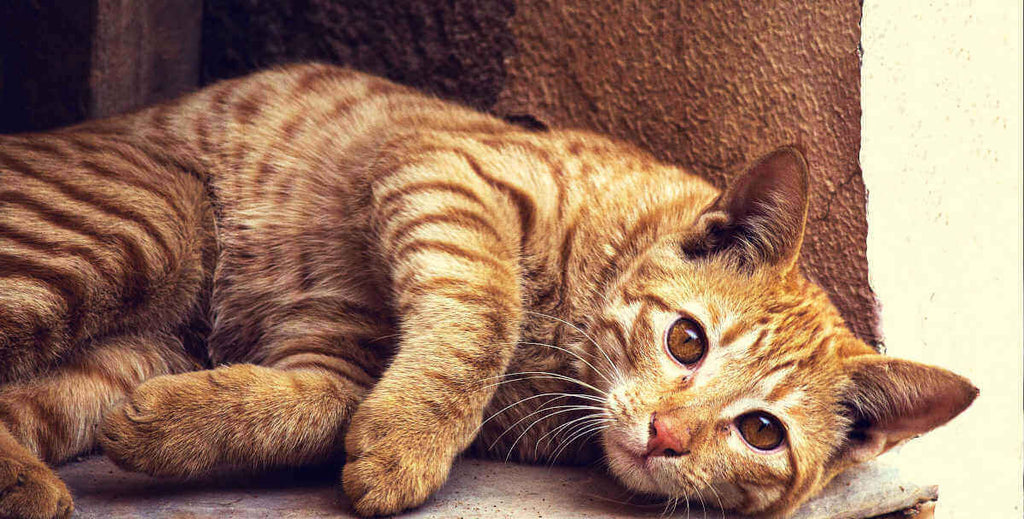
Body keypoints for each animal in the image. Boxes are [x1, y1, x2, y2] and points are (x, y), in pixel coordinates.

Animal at [0, 62, 974, 517]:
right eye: (687, 340)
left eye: (762, 431)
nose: (666, 435)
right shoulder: (443, 171)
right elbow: (483, 310)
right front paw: (410, 438)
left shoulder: (332, 341)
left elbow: (316, 399)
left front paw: (179, 424)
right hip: (148, 220)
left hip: (127, 342)